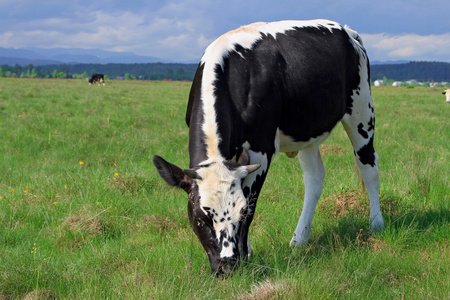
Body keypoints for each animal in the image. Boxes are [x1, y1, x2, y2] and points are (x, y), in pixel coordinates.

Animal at [153, 18, 384, 276]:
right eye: (201, 219)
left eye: (241, 213)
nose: (227, 267)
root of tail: (346, 30)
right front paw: (248, 252)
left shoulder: (260, 148)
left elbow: (252, 201)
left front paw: (245, 254)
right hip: (307, 130)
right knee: (314, 178)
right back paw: (300, 238)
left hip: (362, 110)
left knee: (368, 167)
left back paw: (376, 223)